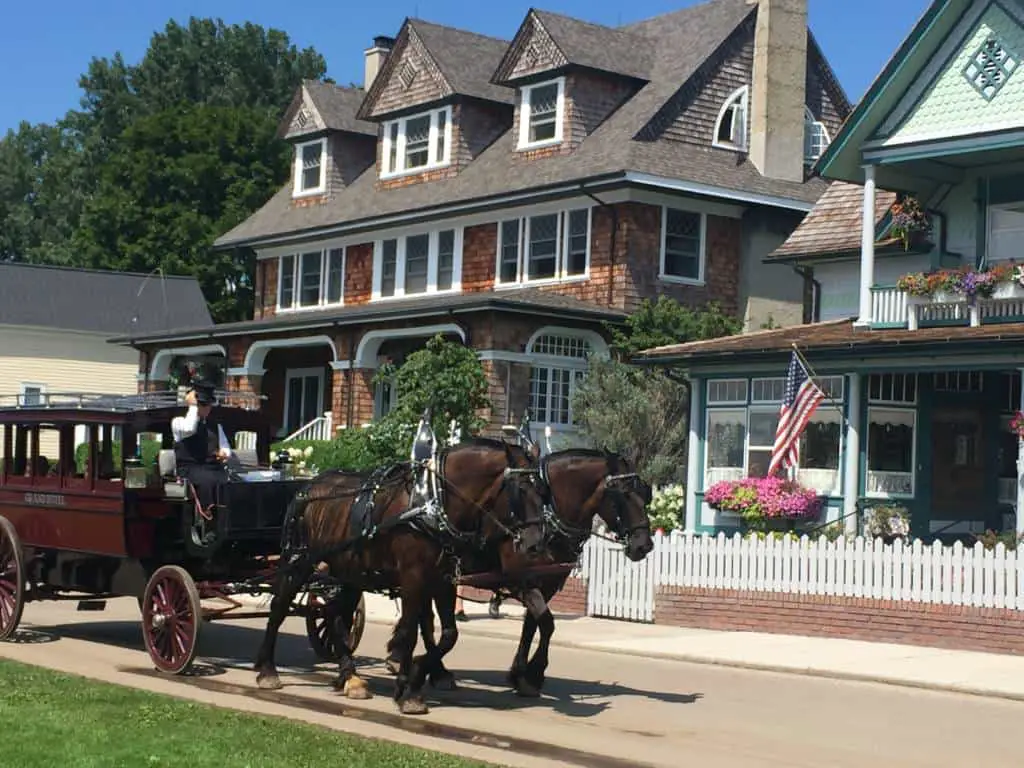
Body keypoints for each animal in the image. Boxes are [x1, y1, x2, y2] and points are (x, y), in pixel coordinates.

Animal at [252, 438, 548, 716]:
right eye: (522, 487)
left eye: (543, 490)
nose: (536, 543)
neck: (433, 503)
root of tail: (308, 487)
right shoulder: (413, 578)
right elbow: (409, 632)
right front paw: (408, 687)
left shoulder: (442, 581)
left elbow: (447, 634)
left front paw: (413, 679)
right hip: (299, 561)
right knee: (280, 606)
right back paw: (267, 670)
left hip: (347, 572)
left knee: (336, 616)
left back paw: (350, 677)